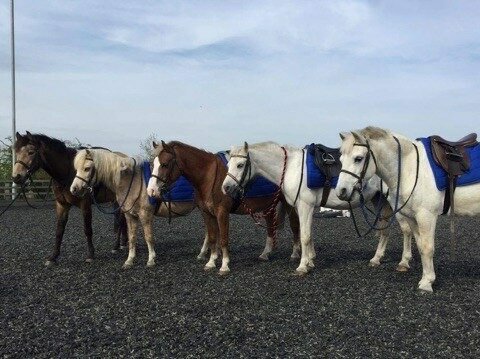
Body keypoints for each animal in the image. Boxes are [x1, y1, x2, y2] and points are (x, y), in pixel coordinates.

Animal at [11, 132, 126, 268]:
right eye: (16, 151)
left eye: (31, 152)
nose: (16, 177)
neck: (69, 172)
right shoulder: (62, 205)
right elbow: (59, 231)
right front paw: (53, 257)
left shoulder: (85, 204)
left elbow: (87, 229)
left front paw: (90, 255)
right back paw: (121, 244)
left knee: (120, 221)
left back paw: (117, 246)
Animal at [69, 148, 197, 268]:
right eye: (76, 168)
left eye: (87, 168)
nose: (74, 189)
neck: (133, 183)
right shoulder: (130, 215)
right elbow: (132, 237)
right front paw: (129, 261)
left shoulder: (145, 214)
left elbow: (148, 237)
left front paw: (151, 260)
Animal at [146, 141, 300, 276]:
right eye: (152, 164)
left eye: (165, 164)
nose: (151, 190)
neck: (208, 177)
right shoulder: (207, 214)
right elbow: (213, 238)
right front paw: (211, 262)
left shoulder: (222, 212)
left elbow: (224, 239)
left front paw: (224, 265)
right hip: (269, 206)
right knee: (270, 227)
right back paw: (265, 253)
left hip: (289, 205)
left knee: (294, 226)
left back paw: (295, 254)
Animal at [221, 141, 412, 276]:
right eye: (228, 165)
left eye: (240, 165)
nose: (226, 188)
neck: (292, 168)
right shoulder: (306, 208)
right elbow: (309, 234)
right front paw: (310, 261)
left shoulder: (305, 206)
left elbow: (304, 236)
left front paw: (302, 266)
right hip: (379, 200)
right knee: (384, 230)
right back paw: (376, 259)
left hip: (395, 202)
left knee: (406, 230)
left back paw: (403, 262)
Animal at [334, 126, 480, 292]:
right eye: (341, 160)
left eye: (358, 158)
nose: (341, 191)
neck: (409, 167)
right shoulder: (412, 217)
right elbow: (421, 246)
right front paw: (425, 277)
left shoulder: (426, 216)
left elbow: (427, 248)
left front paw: (427, 283)